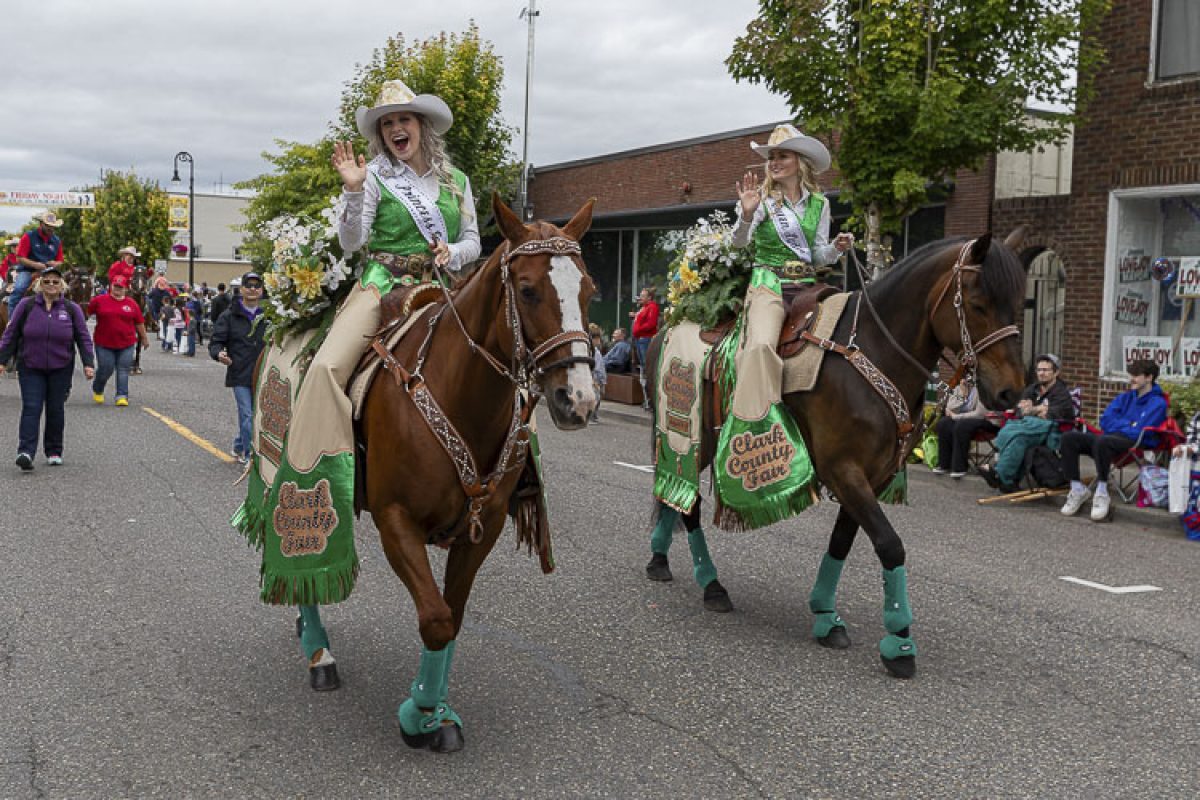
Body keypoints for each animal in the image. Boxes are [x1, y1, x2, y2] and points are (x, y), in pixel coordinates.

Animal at [297, 194, 597, 753]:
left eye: (588, 289)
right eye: (528, 289)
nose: (579, 400)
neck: (461, 396)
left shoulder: (484, 526)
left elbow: (451, 619)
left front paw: (438, 713)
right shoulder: (396, 522)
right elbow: (434, 620)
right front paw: (418, 715)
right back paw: (318, 652)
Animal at [648, 227, 1032, 681]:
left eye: (1018, 303)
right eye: (977, 305)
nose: (1011, 392)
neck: (869, 353)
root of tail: (671, 321)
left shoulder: (872, 474)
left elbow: (842, 543)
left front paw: (825, 616)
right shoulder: (843, 469)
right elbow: (890, 544)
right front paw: (900, 642)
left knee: (672, 496)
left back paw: (659, 557)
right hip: (689, 440)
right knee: (685, 501)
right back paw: (711, 585)